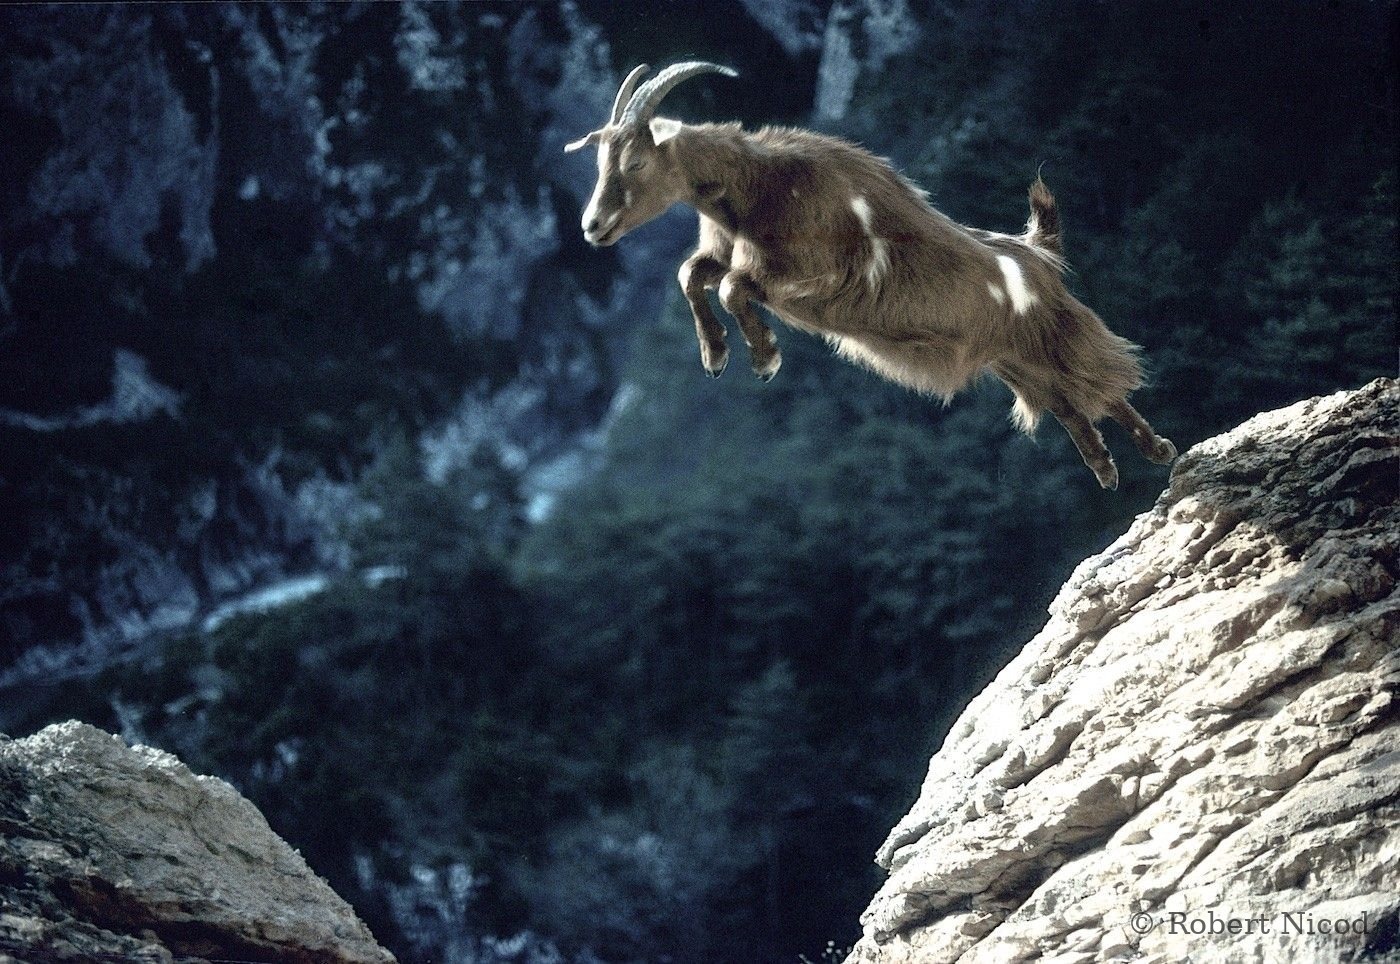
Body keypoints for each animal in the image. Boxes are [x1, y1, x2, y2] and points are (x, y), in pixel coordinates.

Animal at [565, 62, 1176, 489]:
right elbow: (691, 274)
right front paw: (715, 356)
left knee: (1101, 381)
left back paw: (1157, 451)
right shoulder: (728, 255)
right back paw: (1107, 469)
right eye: (599, 161)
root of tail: (1037, 254)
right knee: (1068, 404)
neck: (762, 186)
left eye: (636, 162)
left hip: (1053, 334)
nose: (592, 225)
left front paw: (765, 359)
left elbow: (734, 286)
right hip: (1014, 362)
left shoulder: (815, 276)